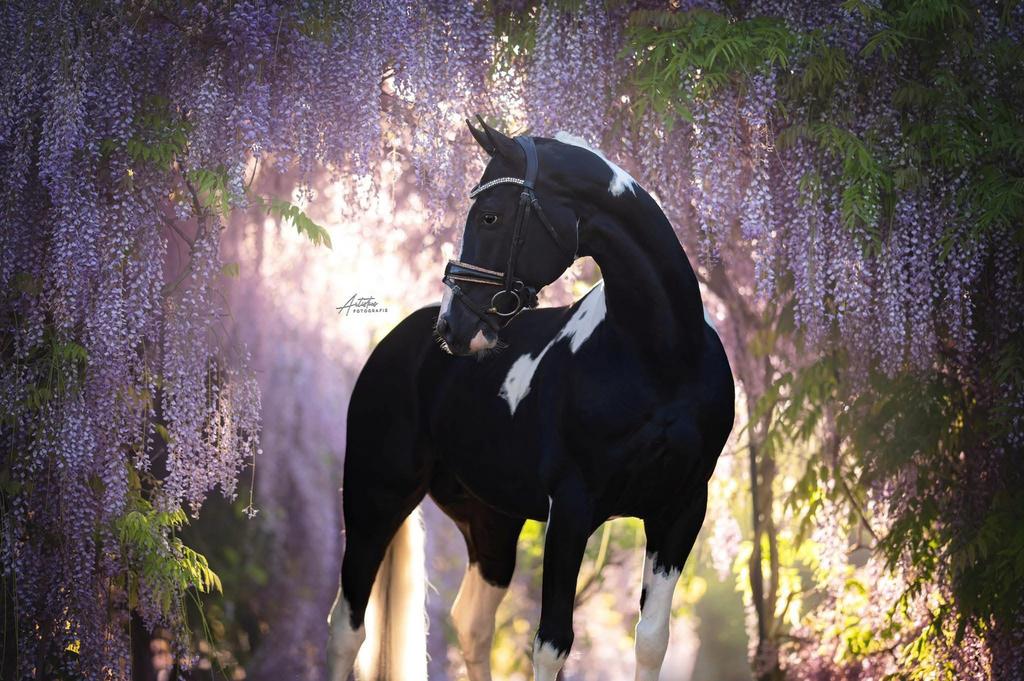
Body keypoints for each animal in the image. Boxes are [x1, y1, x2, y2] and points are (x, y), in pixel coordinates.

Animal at [327, 118, 735, 681]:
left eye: (490, 215)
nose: (454, 326)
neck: (665, 360)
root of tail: (398, 343)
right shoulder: (572, 507)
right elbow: (552, 644)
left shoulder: (681, 508)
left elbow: (652, 640)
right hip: (375, 498)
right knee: (348, 627)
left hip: (491, 520)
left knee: (472, 622)